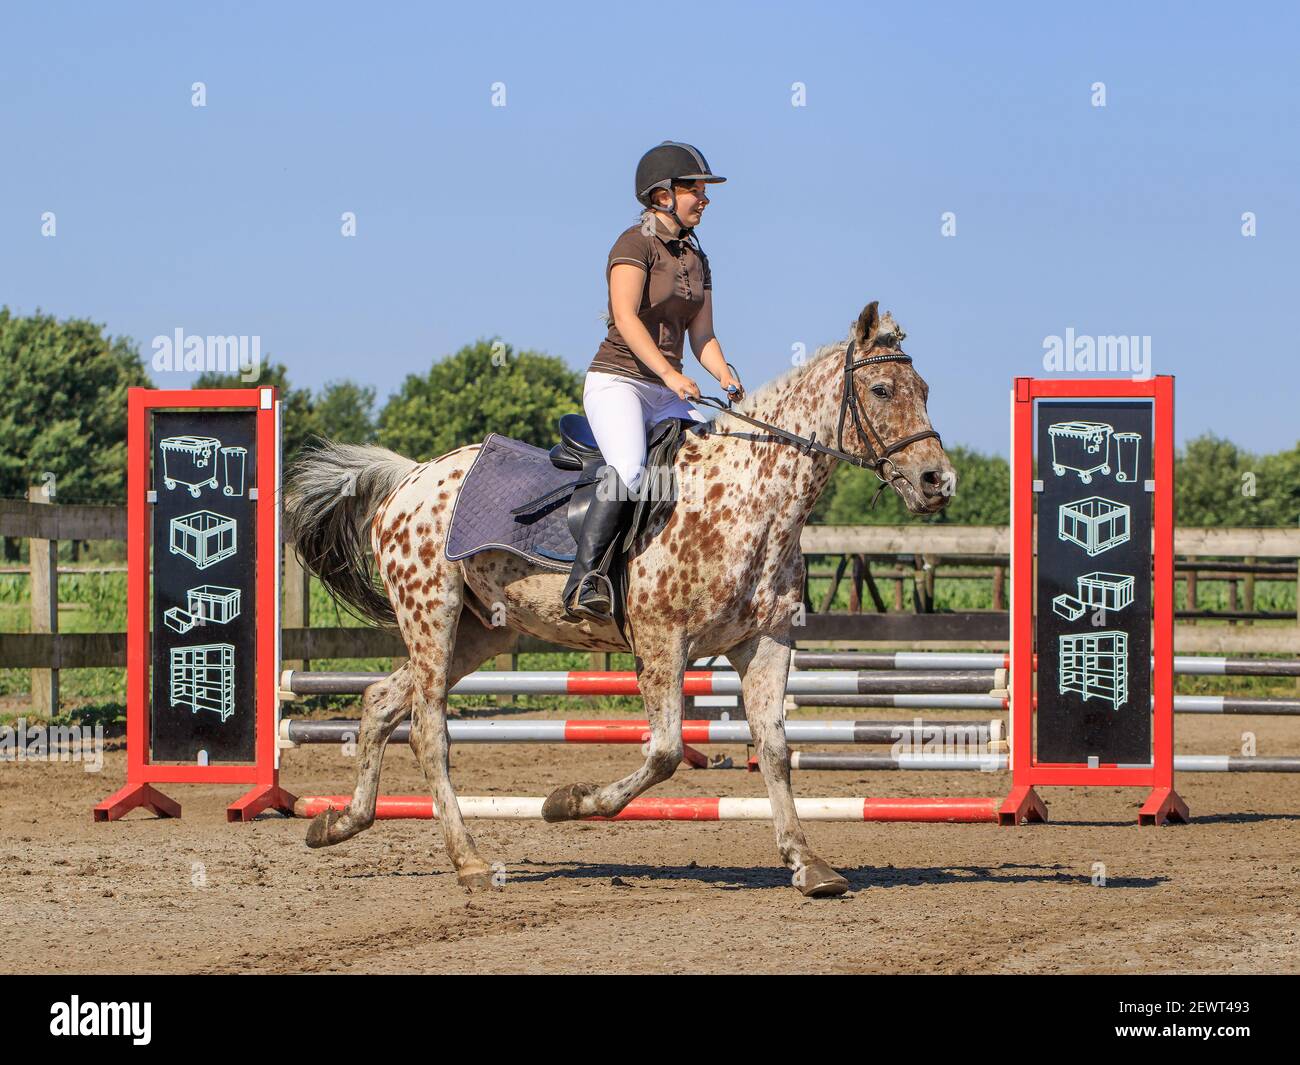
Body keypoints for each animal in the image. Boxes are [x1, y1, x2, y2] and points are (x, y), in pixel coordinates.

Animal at [284, 301, 956, 899]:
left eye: (924, 388)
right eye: (881, 389)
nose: (938, 482)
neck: (750, 498)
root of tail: (409, 477)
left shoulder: (763, 643)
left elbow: (774, 748)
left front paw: (805, 863)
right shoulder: (662, 645)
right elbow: (665, 753)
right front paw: (567, 803)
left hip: (482, 633)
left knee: (379, 702)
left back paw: (337, 823)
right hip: (432, 614)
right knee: (428, 731)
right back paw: (468, 860)